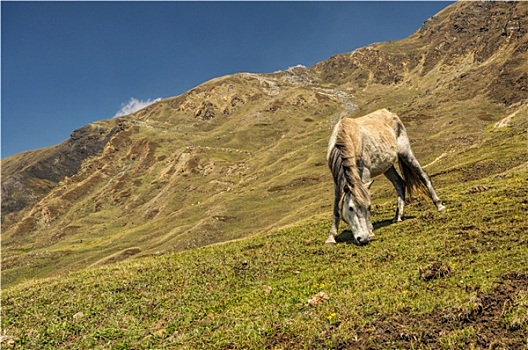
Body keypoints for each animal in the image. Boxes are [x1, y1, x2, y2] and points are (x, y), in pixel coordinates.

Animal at [326, 108, 446, 245]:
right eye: (351, 208)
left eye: (369, 207)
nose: (363, 239)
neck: (346, 138)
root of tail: (391, 114)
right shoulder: (337, 180)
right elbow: (336, 207)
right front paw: (331, 237)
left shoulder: (365, 173)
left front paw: (371, 231)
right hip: (387, 167)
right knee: (399, 183)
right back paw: (398, 217)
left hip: (406, 153)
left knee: (423, 176)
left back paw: (439, 205)